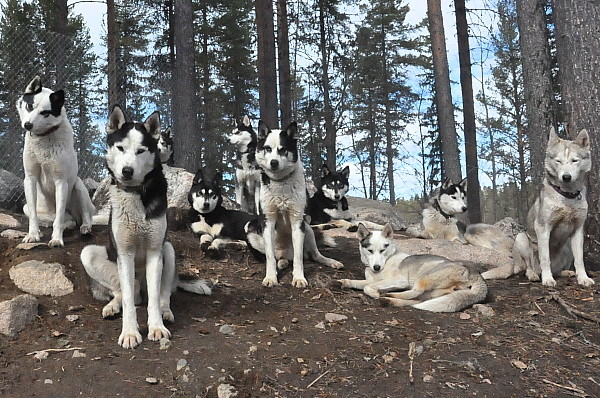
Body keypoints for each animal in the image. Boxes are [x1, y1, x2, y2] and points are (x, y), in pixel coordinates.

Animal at [14, 75, 95, 246]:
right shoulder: (30, 179)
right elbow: (34, 217)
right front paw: (33, 235)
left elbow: (59, 218)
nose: (27, 125)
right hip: (26, 207)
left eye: (45, 113)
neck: (43, 139)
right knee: (54, 220)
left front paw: (57, 239)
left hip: (79, 187)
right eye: (29, 106)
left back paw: (84, 228)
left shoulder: (61, 182)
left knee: (84, 216)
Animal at [79, 105, 211, 348]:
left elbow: (156, 299)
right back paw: (112, 306)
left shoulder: (154, 252)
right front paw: (130, 332)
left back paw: (166, 312)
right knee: (122, 292)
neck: (135, 194)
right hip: (90, 254)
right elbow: (128, 301)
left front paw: (157, 327)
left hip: (168, 250)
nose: (127, 170)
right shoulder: (124, 254)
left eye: (141, 151)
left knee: (163, 295)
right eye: (120, 148)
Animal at [338, 224, 488, 310]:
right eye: (370, 251)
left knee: (416, 292)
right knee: (416, 300)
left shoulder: (400, 280)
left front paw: (376, 293)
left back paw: (389, 295)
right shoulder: (372, 279)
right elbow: (360, 283)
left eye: (382, 250)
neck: (387, 260)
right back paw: (389, 300)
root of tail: (475, 273)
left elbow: (367, 287)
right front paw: (344, 282)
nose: (376, 267)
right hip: (431, 293)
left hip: (424, 277)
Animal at [512, 129, 592, 288]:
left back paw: (565, 272)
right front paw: (547, 279)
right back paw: (534, 275)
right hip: (521, 239)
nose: (566, 176)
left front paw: (583, 278)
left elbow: (579, 259)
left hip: (567, 246)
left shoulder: (578, 229)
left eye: (575, 160)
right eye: (558, 161)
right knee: (529, 266)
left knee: (559, 269)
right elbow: (545, 258)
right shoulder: (543, 227)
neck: (567, 196)